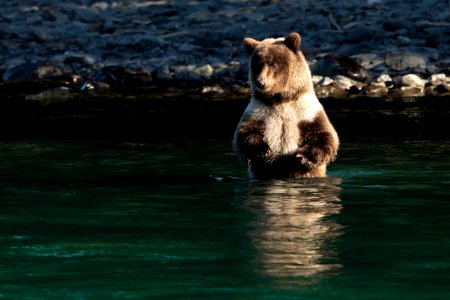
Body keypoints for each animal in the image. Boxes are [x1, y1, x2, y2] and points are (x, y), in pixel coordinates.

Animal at [234, 31, 340, 179]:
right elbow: (245, 133)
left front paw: (303, 157)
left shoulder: (306, 111)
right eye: (257, 64)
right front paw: (262, 151)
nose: (260, 82)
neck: (280, 100)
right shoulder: (258, 111)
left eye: (272, 64)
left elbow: (325, 135)